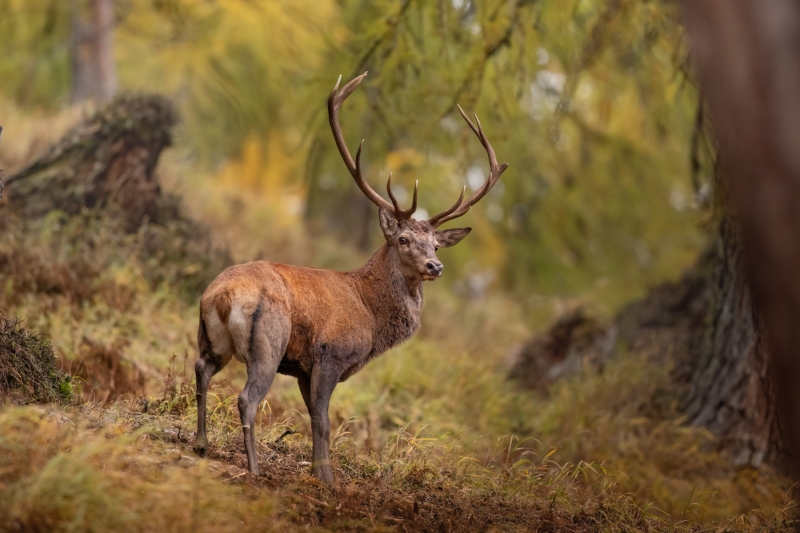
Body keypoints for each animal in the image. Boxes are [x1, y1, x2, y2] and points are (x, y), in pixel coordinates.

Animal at [193, 72, 508, 483]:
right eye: (403, 239)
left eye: (437, 245)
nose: (434, 267)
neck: (370, 316)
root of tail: (222, 294)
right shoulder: (331, 353)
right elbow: (324, 420)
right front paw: (327, 479)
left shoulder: (303, 369)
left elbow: (314, 418)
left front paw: (318, 471)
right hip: (268, 342)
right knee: (247, 397)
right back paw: (254, 469)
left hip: (212, 338)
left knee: (201, 368)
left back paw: (201, 444)